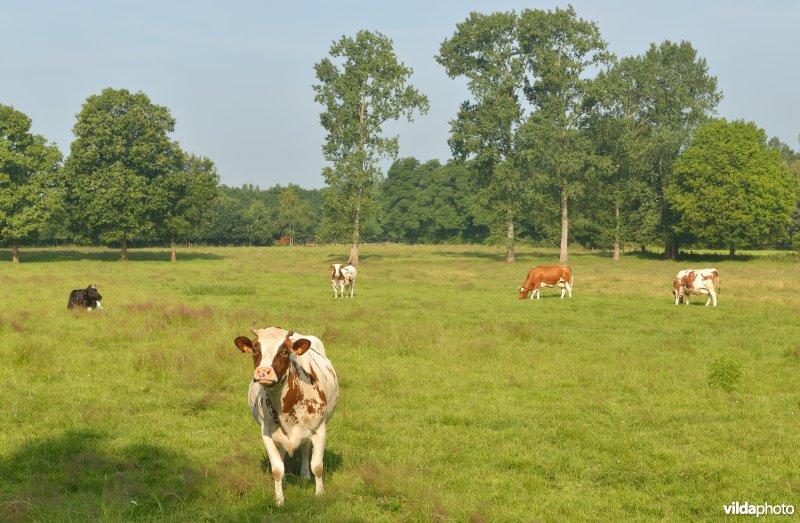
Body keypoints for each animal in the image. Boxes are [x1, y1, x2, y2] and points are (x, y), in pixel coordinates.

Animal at [234, 326, 340, 506]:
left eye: (284, 351)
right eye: (255, 349)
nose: (263, 372)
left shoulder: (319, 430)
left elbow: (317, 465)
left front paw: (319, 494)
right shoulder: (267, 433)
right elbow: (277, 468)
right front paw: (279, 500)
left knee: (305, 448)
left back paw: (304, 474)